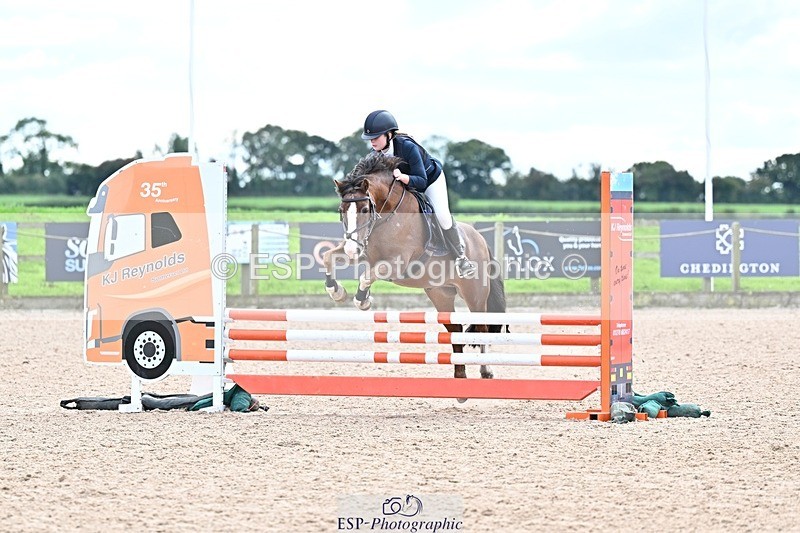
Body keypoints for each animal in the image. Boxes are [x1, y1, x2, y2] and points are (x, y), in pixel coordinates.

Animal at [321, 152, 507, 384]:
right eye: (341, 211)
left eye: (364, 209)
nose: (351, 249)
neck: (386, 215)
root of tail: (480, 239)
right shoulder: (363, 252)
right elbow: (327, 257)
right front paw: (336, 291)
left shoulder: (396, 263)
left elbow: (366, 276)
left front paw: (363, 301)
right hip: (441, 294)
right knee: (455, 329)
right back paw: (460, 374)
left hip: (475, 294)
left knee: (482, 327)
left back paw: (486, 370)